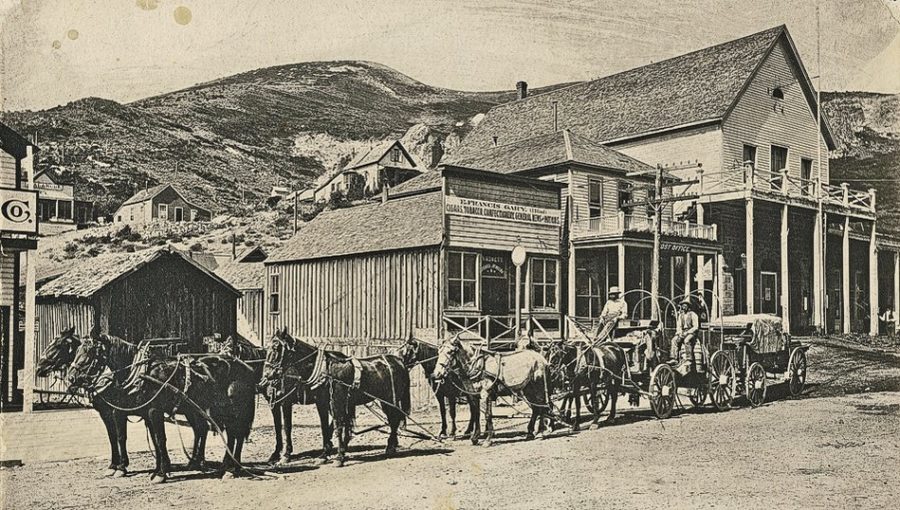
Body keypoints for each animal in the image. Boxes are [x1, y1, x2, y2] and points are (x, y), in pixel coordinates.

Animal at [123, 344, 258, 480]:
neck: (147, 374)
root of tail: (248, 368)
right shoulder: (148, 414)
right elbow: (155, 440)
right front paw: (157, 470)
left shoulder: (155, 411)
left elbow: (160, 439)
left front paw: (162, 473)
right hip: (208, 411)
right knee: (225, 434)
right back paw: (226, 466)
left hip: (234, 411)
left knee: (235, 435)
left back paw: (231, 469)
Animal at [260, 328, 342, 464]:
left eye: (276, 348)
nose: (266, 375)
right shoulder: (276, 402)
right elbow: (279, 426)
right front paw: (278, 454)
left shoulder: (313, 402)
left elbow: (288, 426)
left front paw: (286, 454)